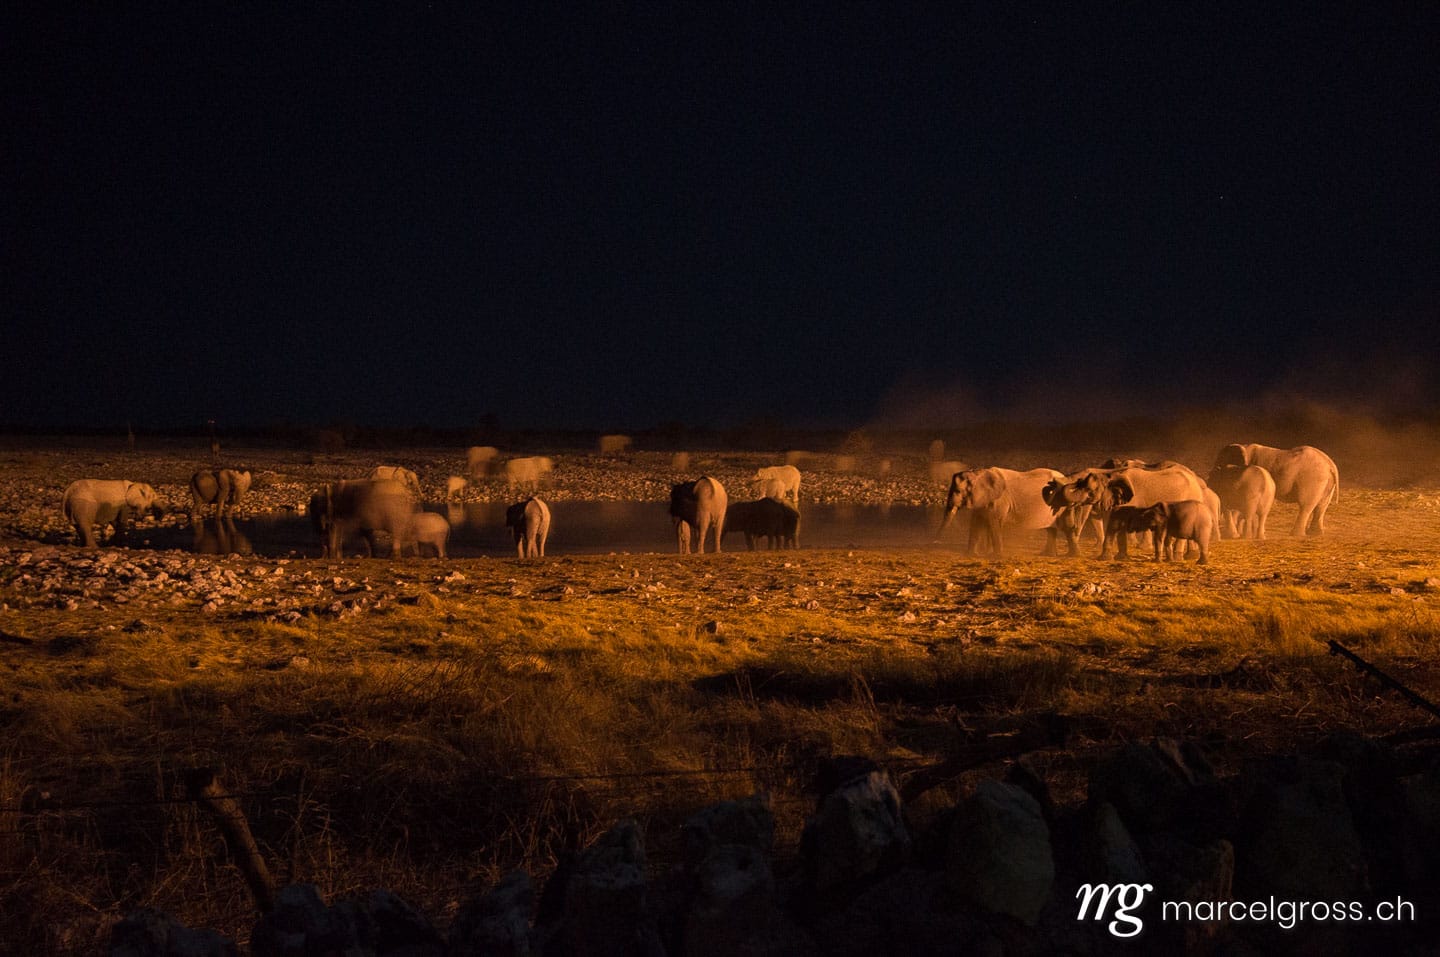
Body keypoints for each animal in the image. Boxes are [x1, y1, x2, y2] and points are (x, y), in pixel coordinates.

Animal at [937, 467, 1067, 557]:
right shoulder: (982, 500)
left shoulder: (999, 500)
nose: (935, 539)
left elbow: (994, 523)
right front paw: (970, 555)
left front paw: (995, 556)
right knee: (1051, 529)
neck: (978, 473)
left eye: (958, 491)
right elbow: (975, 523)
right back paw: (1048, 554)